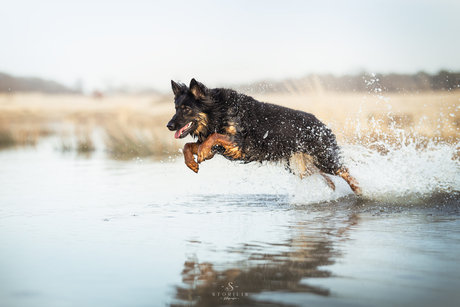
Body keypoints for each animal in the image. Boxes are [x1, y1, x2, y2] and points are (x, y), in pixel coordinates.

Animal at [167, 79, 362, 195]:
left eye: (186, 109)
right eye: (176, 108)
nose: (169, 126)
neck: (218, 110)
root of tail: (322, 125)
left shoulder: (240, 143)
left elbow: (212, 137)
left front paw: (201, 153)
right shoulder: (223, 146)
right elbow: (188, 146)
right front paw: (192, 161)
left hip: (323, 159)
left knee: (344, 171)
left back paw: (359, 190)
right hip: (301, 167)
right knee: (330, 180)